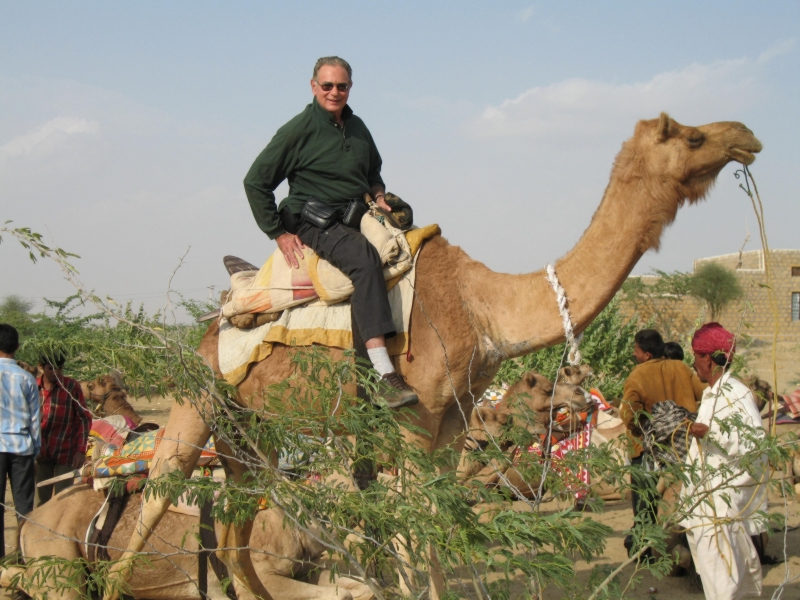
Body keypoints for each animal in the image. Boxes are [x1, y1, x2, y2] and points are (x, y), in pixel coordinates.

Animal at [106, 113, 764, 600]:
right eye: (692, 135)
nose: (746, 134)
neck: (484, 308)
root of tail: (211, 324)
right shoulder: (413, 427)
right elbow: (413, 537)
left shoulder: (451, 429)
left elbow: (434, 534)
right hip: (198, 401)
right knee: (155, 505)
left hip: (251, 432)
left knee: (237, 539)